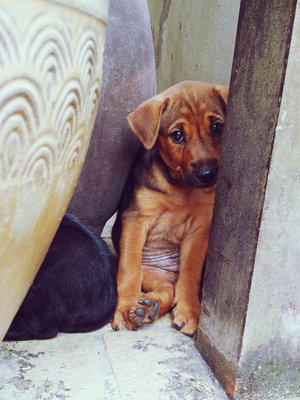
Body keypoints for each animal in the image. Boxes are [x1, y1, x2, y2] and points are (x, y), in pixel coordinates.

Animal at [111, 81, 229, 338]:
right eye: (177, 135)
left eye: (217, 127)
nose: (208, 173)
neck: (180, 186)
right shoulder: (137, 219)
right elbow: (129, 269)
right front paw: (125, 308)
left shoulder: (199, 228)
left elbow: (190, 274)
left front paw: (190, 311)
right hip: (150, 272)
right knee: (164, 286)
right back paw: (144, 307)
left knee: (174, 287)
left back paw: (149, 306)